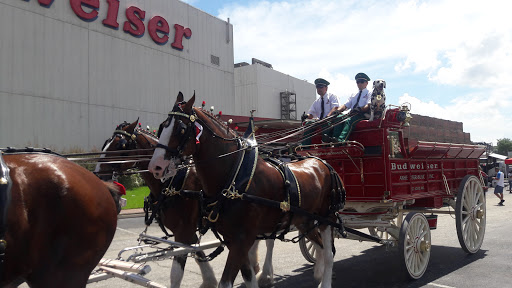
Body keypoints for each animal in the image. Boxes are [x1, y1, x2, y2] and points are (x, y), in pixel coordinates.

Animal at [96, 120, 280, 286]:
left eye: (120, 145)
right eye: (106, 143)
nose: (98, 174)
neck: (172, 181)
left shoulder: (184, 230)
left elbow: (178, 271)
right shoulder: (188, 230)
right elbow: (198, 256)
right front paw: (209, 281)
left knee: (270, 241)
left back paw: (265, 274)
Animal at [148, 93, 344, 286]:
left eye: (181, 130)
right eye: (162, 127)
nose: (155, 167)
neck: (235, 177)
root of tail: (321, 161)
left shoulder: (241, 238)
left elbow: (226, 281)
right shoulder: (231, 239)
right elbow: (248, 275)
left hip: (327, 218)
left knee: (328, 254)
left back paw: (325, 280)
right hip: (305, 220)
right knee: (319, 246)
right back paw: (318, 273)